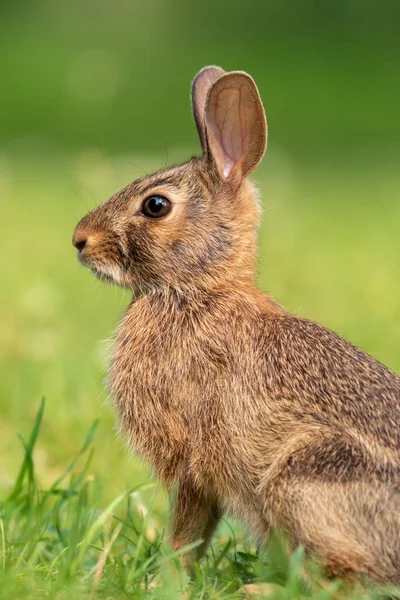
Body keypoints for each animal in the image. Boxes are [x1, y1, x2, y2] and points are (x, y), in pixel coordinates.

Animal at [73, 67, 400, 584]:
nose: (79, 240)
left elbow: (186, 534)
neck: (197, 290)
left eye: (155, 206)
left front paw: (164, 581)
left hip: (301, 479)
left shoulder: (192, 461)